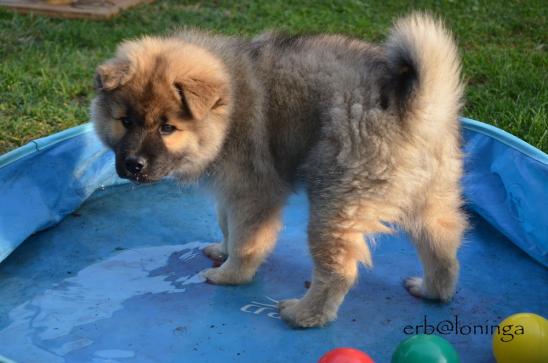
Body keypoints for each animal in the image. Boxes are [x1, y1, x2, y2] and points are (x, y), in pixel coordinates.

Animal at [92, 12, 464, 328]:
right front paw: (222, 251)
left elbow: (246, 241)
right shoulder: (231, 192)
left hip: (336, 205)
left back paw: (303, 314)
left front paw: (230, 274)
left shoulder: (254, 193)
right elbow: (228, 226)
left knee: (338, 272)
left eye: (167, 128)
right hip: (429, 199)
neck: (227, 111)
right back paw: (431, 290)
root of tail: (416, 109)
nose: (134, 164)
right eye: (126, 121)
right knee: (443, 248)